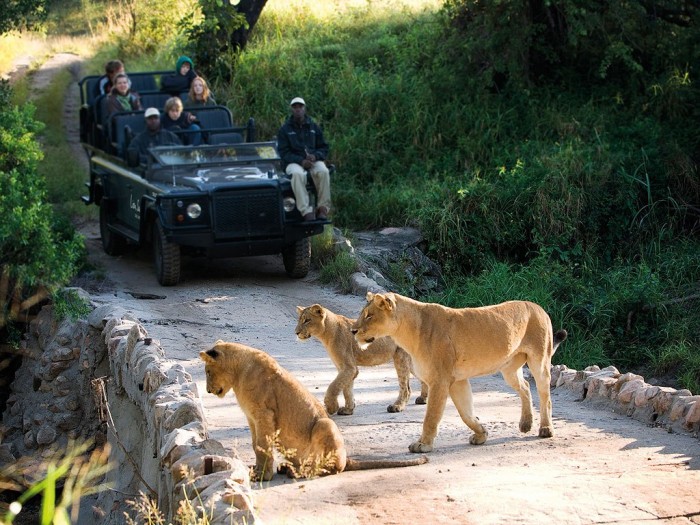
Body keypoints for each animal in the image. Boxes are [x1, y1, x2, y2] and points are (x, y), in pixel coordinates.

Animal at [200, 340, 428, 480]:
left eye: (208, 371)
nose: (208, 390)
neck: (239, 372)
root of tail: (347, 458)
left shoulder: (264, 415)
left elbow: (262, 446)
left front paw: (262, 476)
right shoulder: (251, 418)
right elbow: (256, 445)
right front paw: (256, 471)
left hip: (325, 424)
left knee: (330, 468)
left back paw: (296, 473)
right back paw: (288, 468)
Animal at [295, 304, 428, 415]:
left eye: (307, 320)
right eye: (299, 320)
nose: (296, 332)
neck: (326, 332)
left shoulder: (349, 367)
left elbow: (333, 386)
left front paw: (332, 407)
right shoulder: (345, 368)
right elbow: (346, 388)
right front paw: (348, 409)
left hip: (400, 357)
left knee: (405, 387)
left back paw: (397, 406)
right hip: (410, 361)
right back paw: (423, 399)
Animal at [351, 292, 567, 453]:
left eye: (369, 315)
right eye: (362, 314)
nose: (353, 331)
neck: (407, 331)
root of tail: (538, 307)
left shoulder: (440, 380)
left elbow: (431, 416)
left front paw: (423, 444)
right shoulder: (457, 381)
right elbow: (466, 413)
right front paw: (481, 434)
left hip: (539, 361)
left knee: (544, 394)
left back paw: (545, 429)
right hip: (509, 369)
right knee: (525, 387)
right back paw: (525, 424)